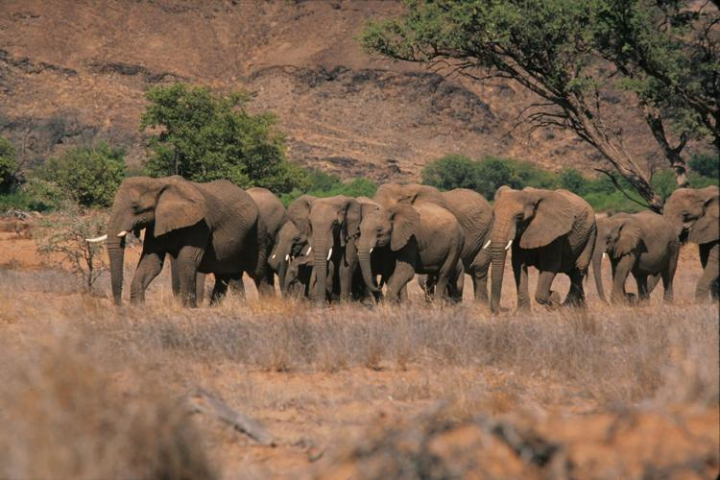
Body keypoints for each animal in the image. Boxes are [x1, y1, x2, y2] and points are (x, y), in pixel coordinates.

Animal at [97, 175, 270, 307]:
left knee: (258, 272)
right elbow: (151, 262)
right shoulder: (156, 223)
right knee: (227, 275)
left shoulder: (200, 225)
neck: (158, 183)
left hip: (257, 232)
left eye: (135, 206)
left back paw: (269, 303)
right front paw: (138, 307)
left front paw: (188, 308)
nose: (120, 306)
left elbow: (187, 260)